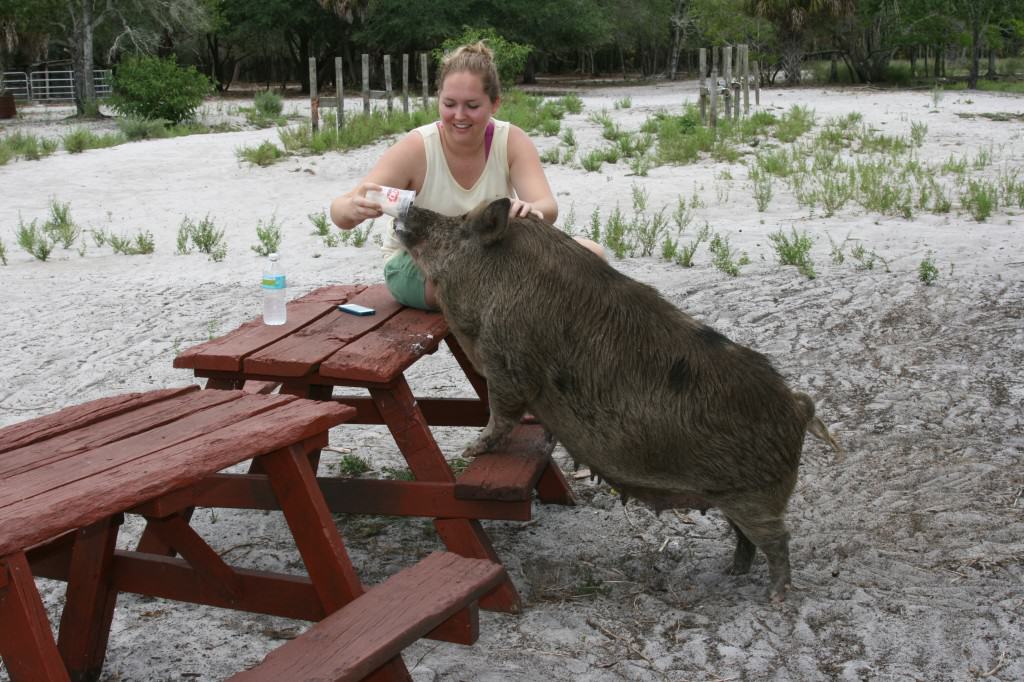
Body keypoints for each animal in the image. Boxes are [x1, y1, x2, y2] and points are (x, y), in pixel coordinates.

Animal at [393, 197, 839, 602]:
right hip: (729, 494)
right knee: (745, 537)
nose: (410, 206)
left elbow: (501, 412)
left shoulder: (506, 360)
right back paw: (733, 572)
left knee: (778, 537)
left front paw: (471, 451)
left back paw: (775, 596)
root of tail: (799, 408)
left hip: (756, 496)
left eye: (462, 223)